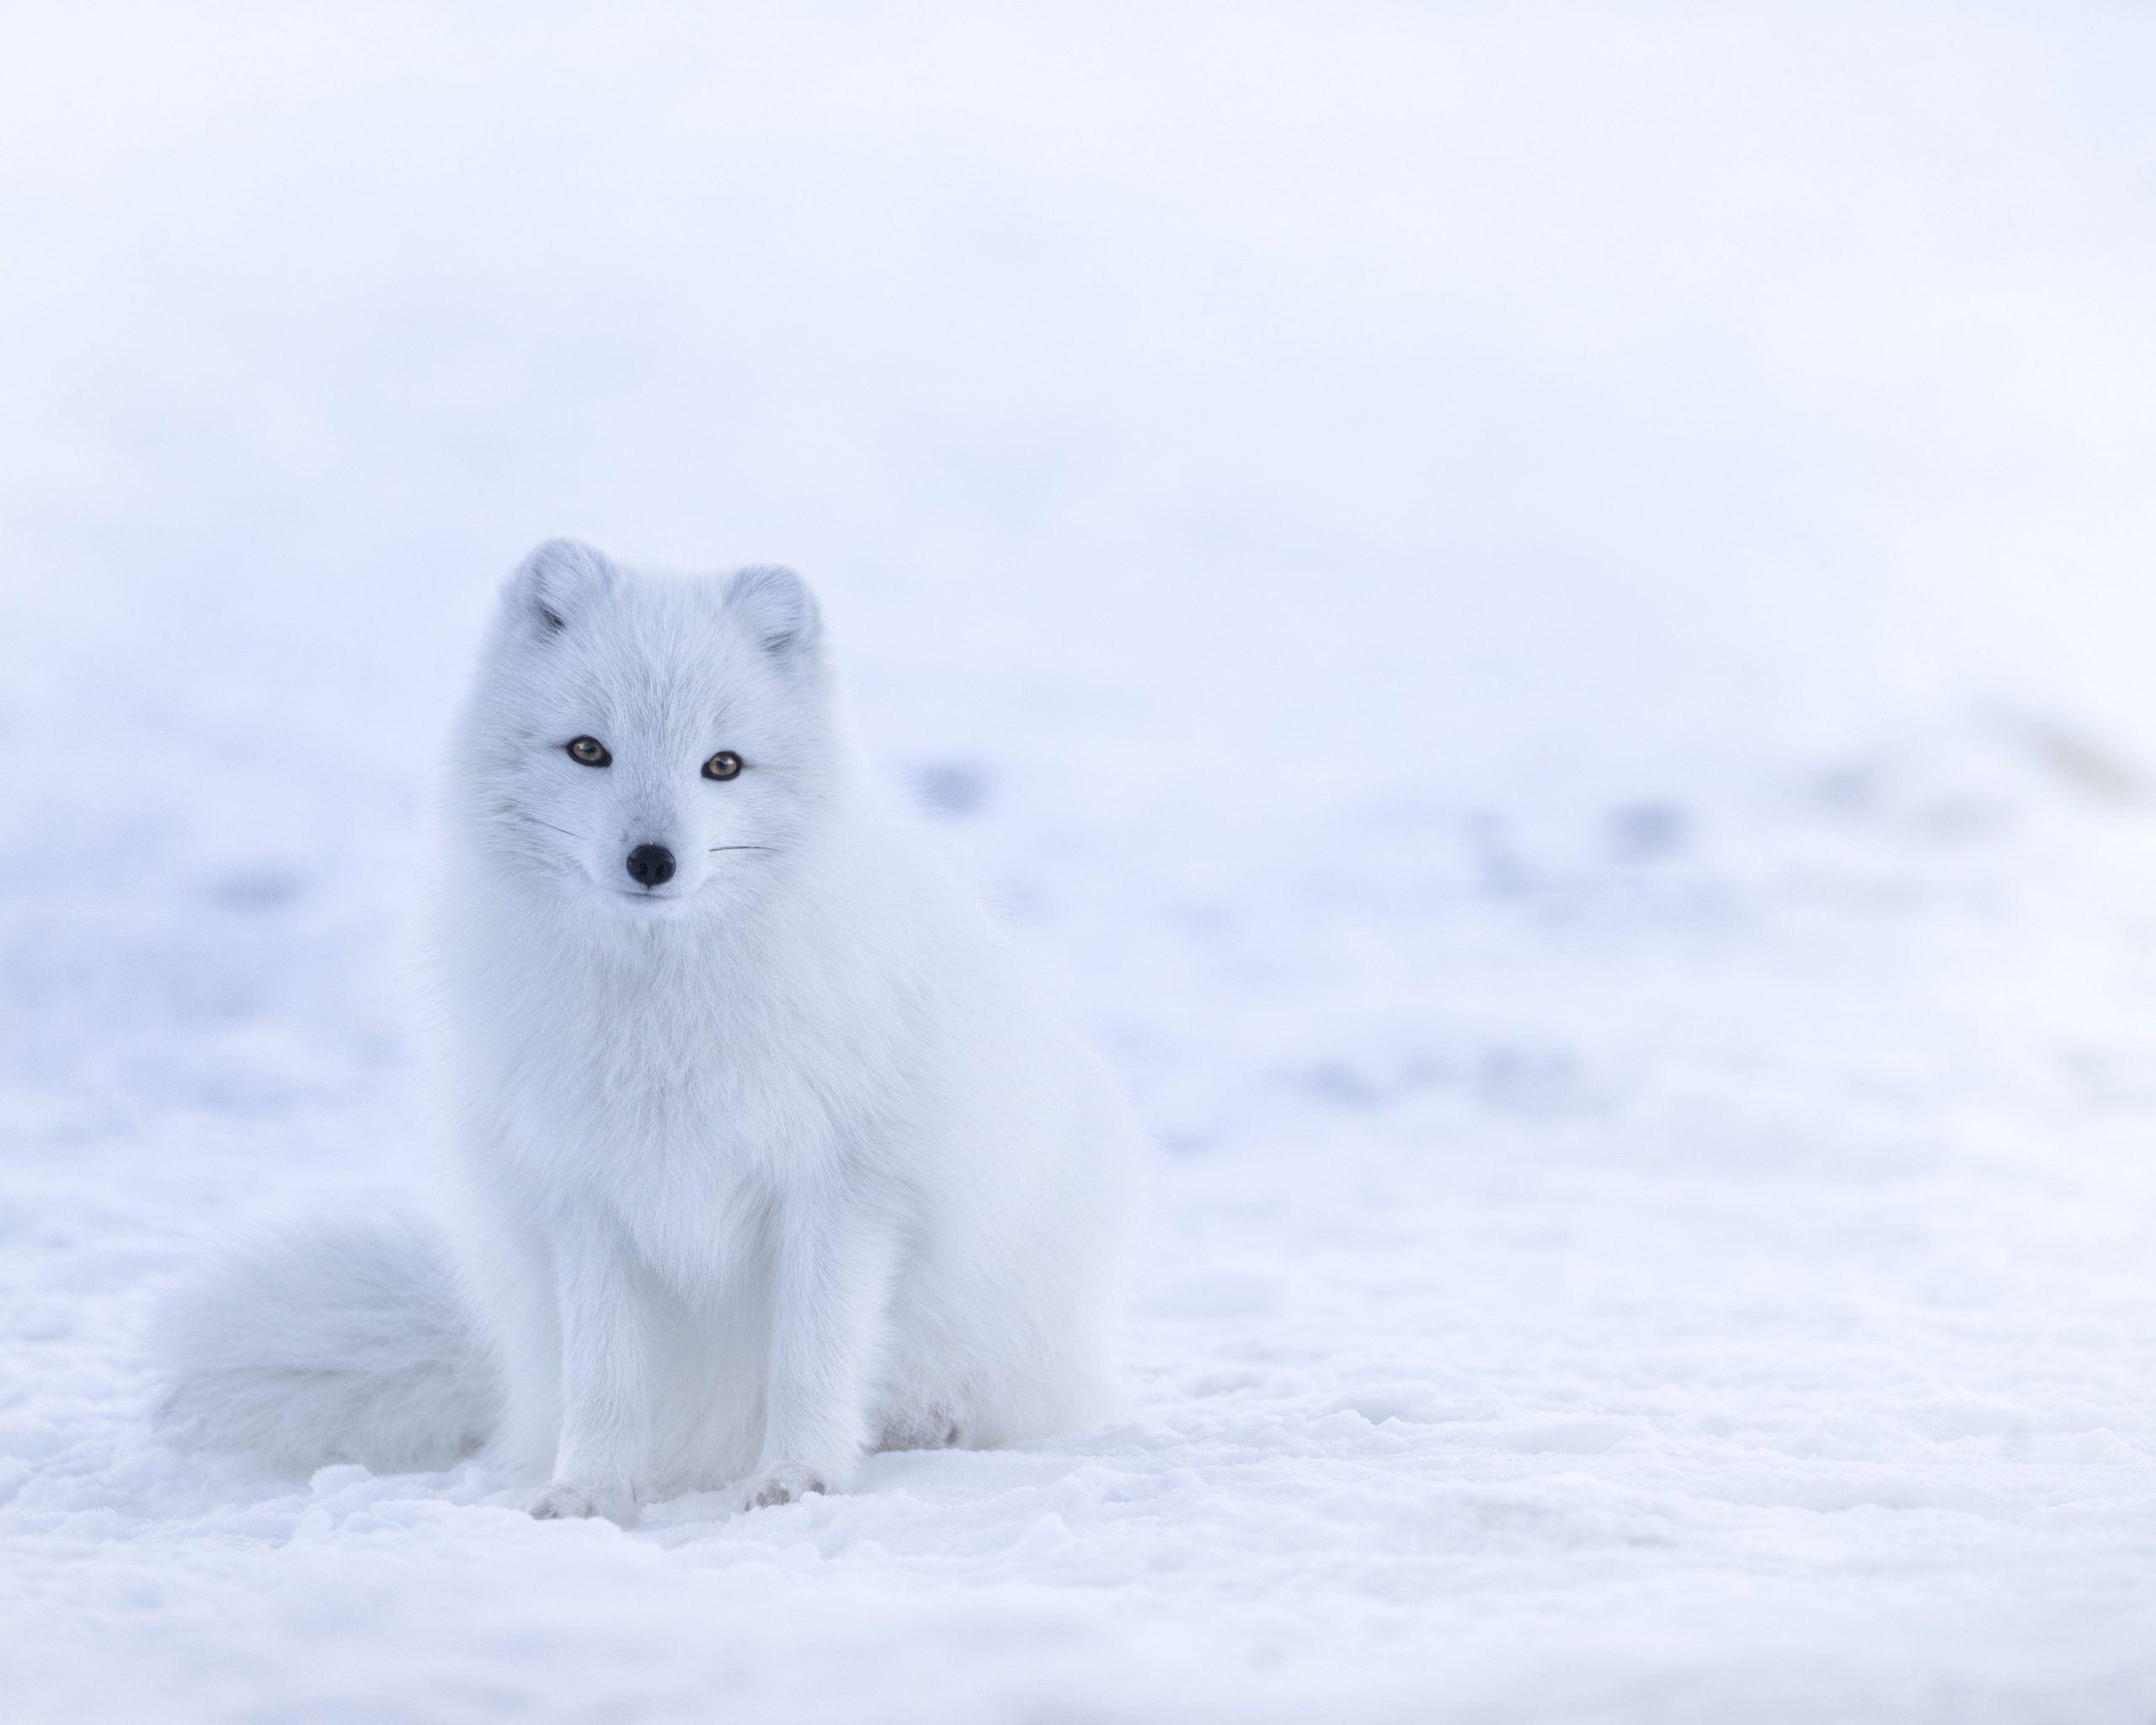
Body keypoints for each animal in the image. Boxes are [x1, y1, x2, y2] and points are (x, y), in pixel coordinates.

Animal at [156, 540, 1137, 1519]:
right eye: (589, 749)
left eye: (723, 765)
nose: (653, 860)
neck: (662, 1011)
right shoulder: (586, 1195)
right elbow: (605, 1377)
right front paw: (587, 1492)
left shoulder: (840, 1187)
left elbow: (811, 1358)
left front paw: (798, 1477)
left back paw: (929, 1424)